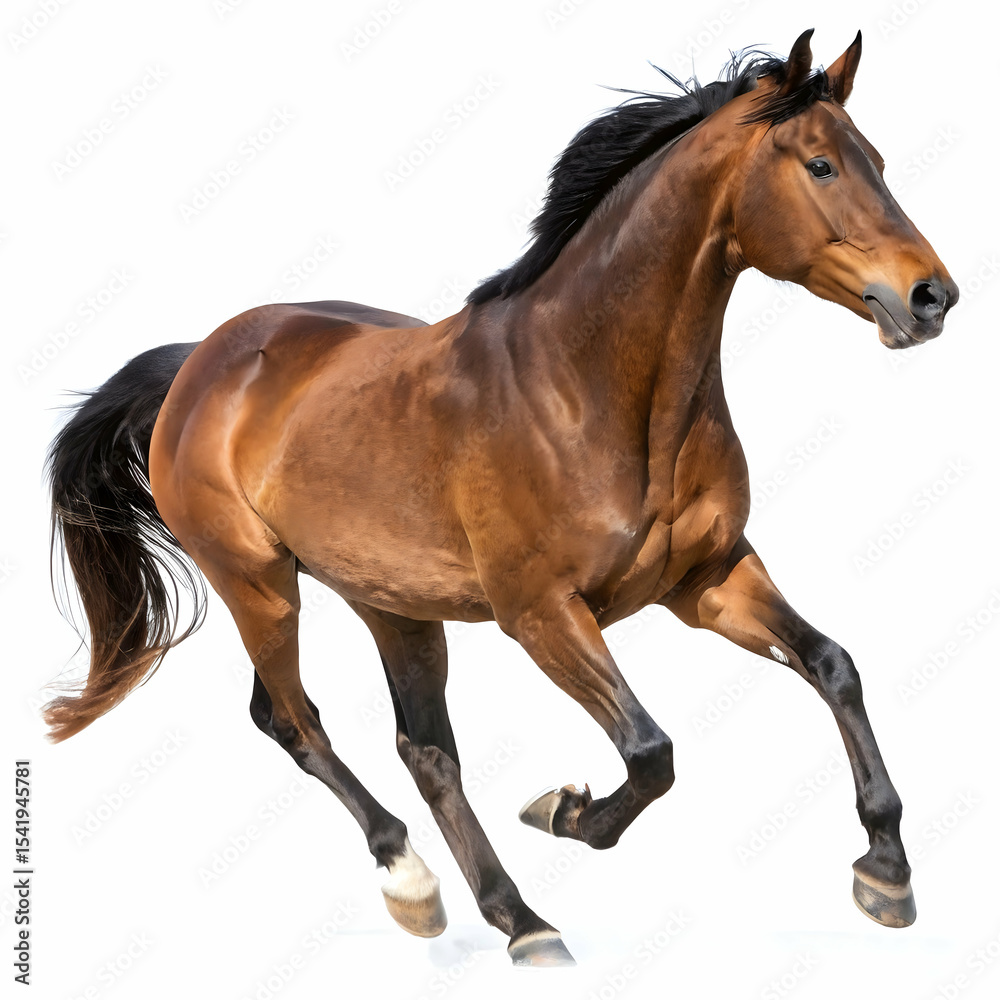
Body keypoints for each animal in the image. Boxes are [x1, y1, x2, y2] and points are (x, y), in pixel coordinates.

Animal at [45, 30, 957, 967]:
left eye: (878, 160)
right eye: (820, 164)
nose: (932, 297)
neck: (586, 387)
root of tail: (197, 365)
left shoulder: (707, 581)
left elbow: (833, 666)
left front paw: (886, 873)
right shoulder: (542, 612)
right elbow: (650, 751)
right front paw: (564, 811)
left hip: (392, 605)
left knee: (424, 751)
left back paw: (518, 919)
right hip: (258, 585)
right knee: (293, 721)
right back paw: (415, 882)